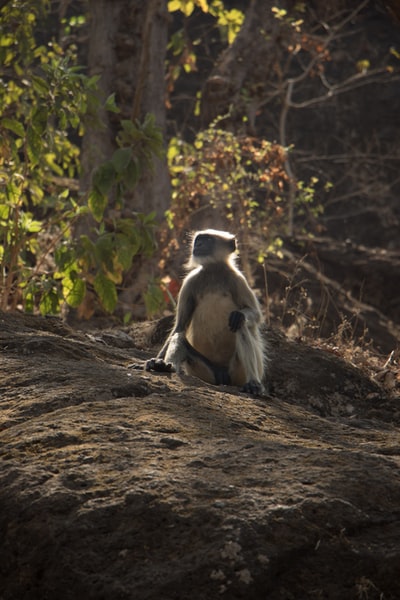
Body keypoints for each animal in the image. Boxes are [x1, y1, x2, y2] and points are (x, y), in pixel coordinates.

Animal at [145, 229, 268, 394]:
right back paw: (163, 366)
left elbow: (256, 315)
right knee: (179, 337)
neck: (213, 270)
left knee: (240, 324)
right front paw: (153, 361)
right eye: (198, 239)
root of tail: (222, 376)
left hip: (238, 373)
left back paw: (253, 383)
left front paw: (239, 314)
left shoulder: (238, 279)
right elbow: (179, 326)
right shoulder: (190, 282)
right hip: (204, 372)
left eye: (208, 240)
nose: (198, 244)